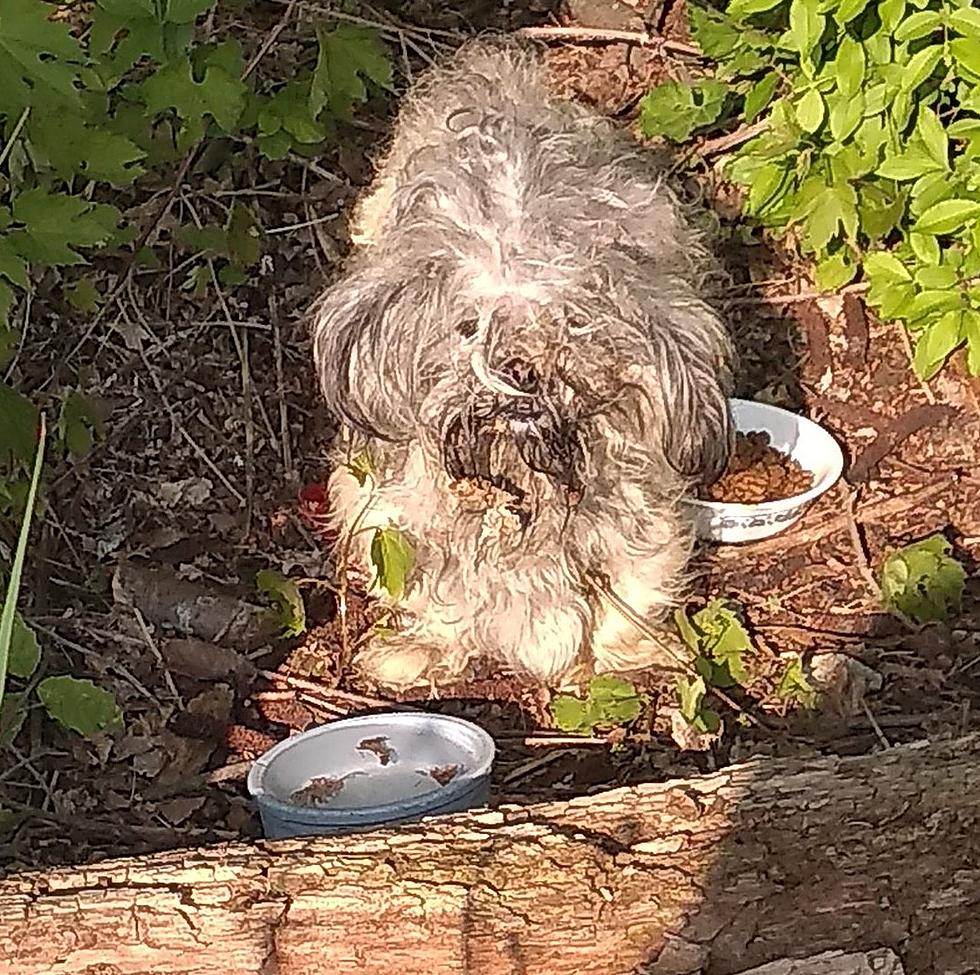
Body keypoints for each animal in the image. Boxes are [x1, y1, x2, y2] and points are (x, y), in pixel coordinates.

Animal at [310, 38, 732, 692]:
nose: (520, 371)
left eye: (572, 326)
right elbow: (437, 590)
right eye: (468, 327)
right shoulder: (396, 512)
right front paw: (426, 649)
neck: (523, 479)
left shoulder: (641, 514)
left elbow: (629, 592)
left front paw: (613, 662)